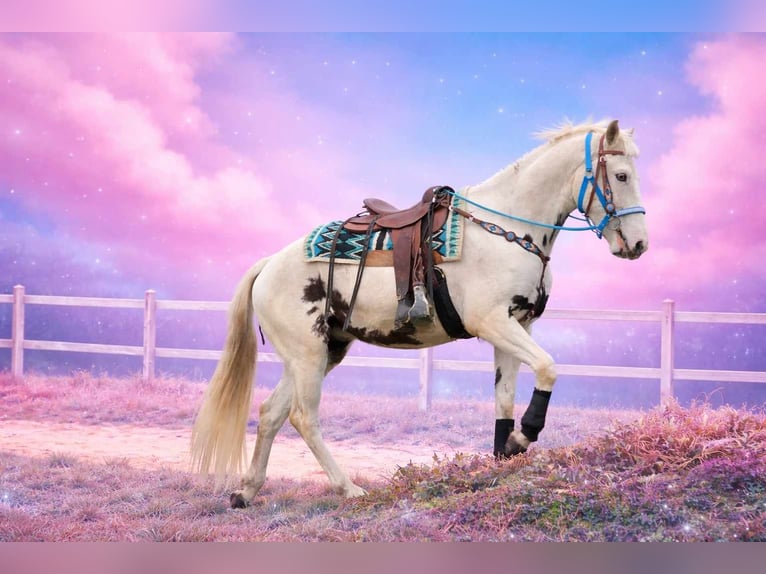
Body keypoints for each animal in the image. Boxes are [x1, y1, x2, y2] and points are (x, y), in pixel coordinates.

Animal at [191, 119, 648, 507]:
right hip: (307, 355)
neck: (505, 230)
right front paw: (524, 437)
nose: (639, 243)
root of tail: (268, 264)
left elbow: (504, 397)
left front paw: (503, 456)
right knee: (303, 417)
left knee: (271, 413)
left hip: (322, 352)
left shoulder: (517, 325)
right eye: (621, 176)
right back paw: (349, 489)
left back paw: (246, 491)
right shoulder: (492, 323)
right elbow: (549, 368)